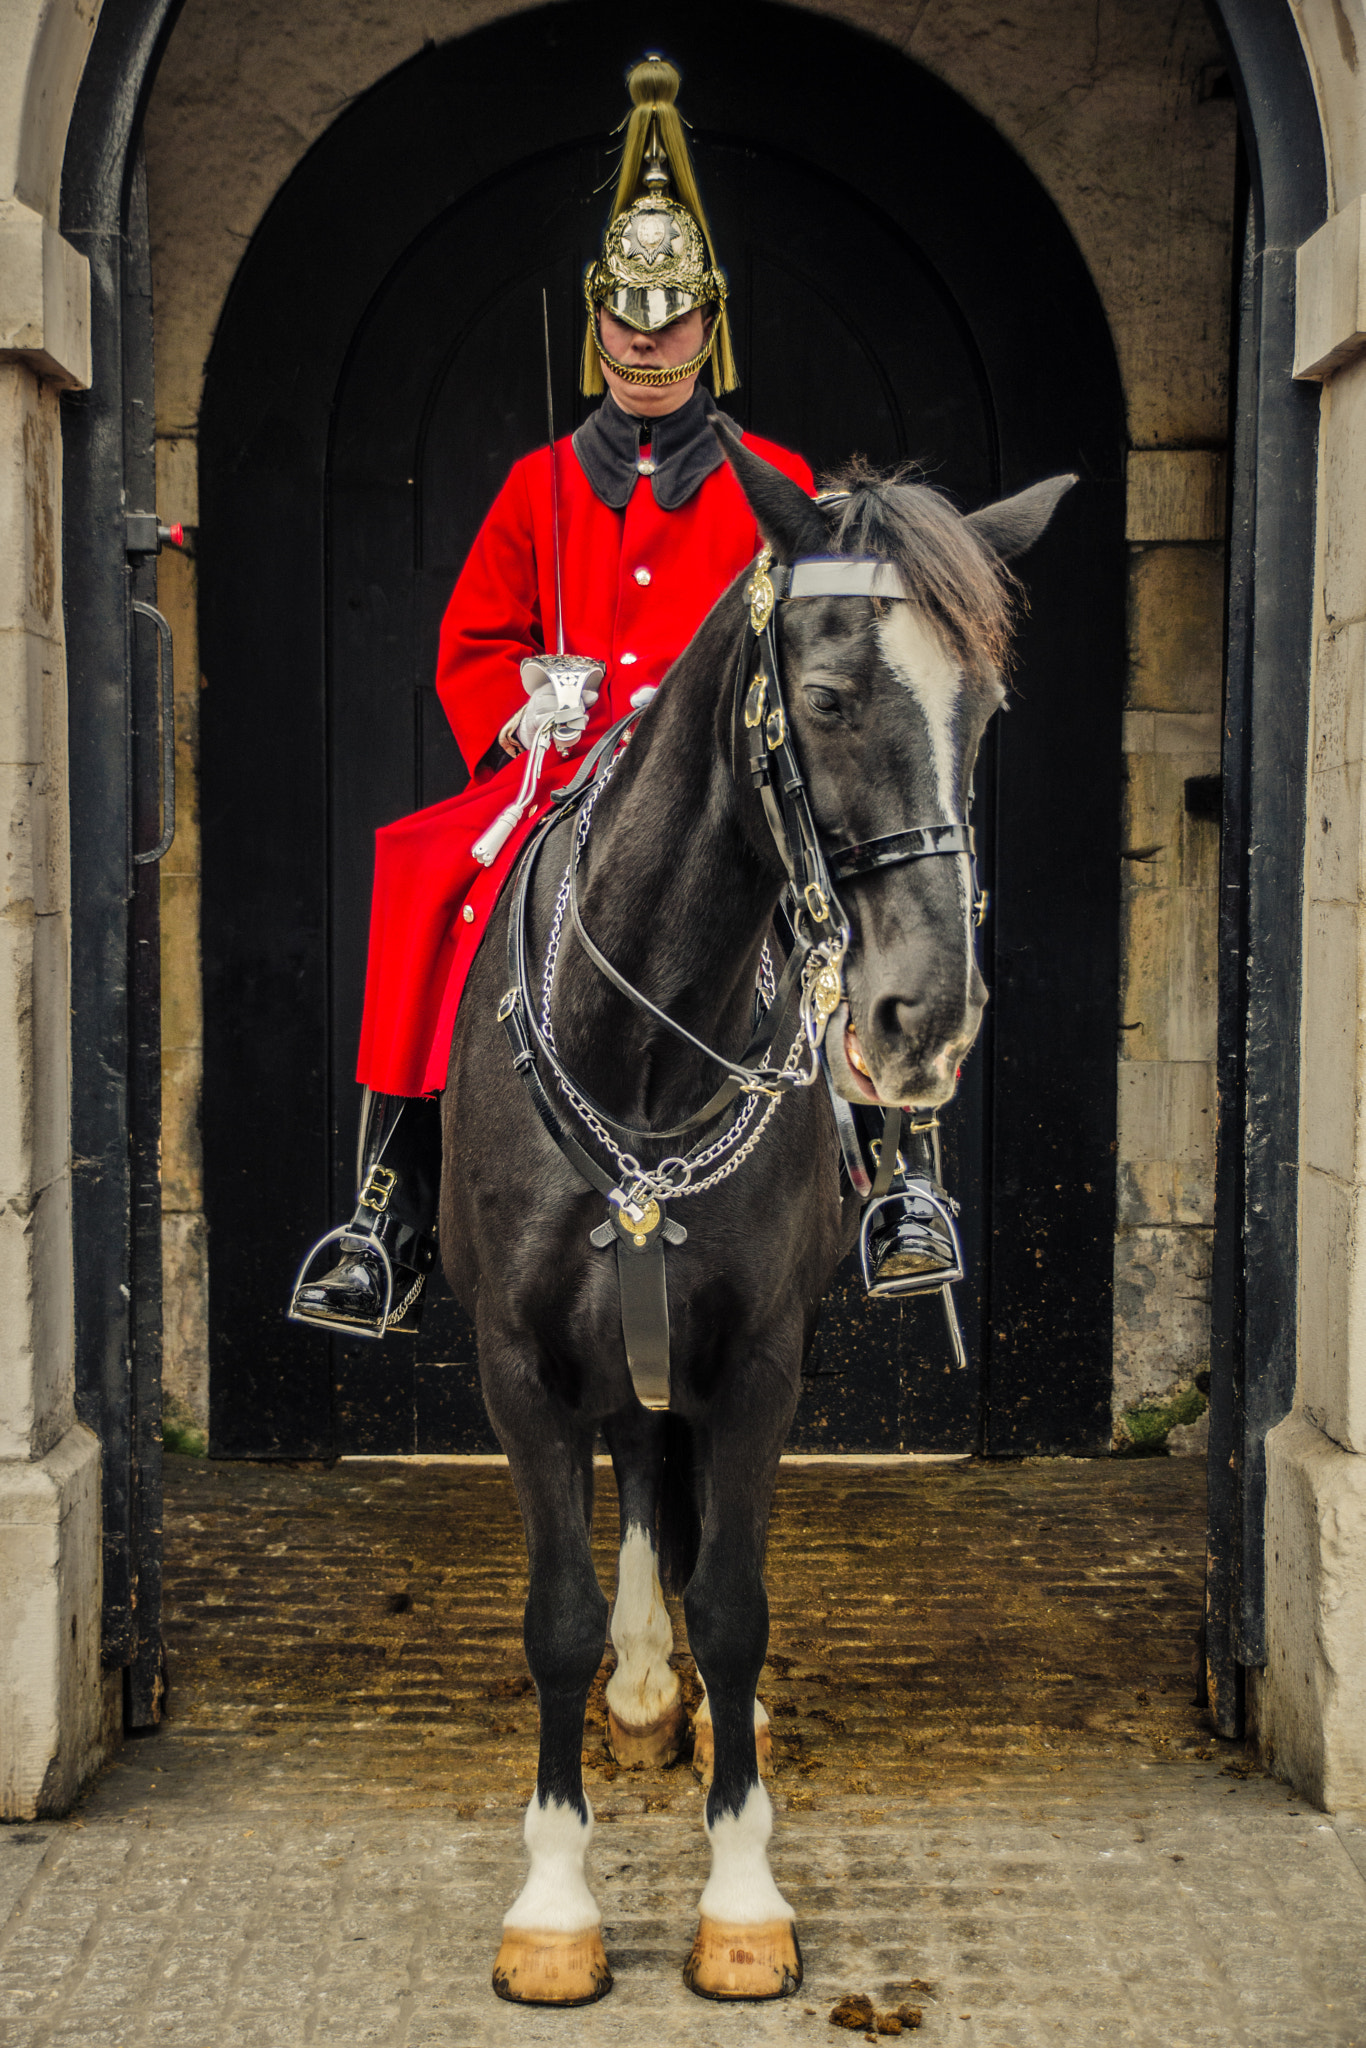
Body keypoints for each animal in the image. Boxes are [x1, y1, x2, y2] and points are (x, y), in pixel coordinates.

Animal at [439, 422, 1072, 2004]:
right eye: (831, 697)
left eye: (985, 712)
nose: (926, 1019)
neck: (644, 1044)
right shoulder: (517, 1363)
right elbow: (554, 1617)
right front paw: (554, 1901)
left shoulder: (761, 1361)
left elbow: (735, 1604)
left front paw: (739, 1887)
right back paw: (637, 1686)